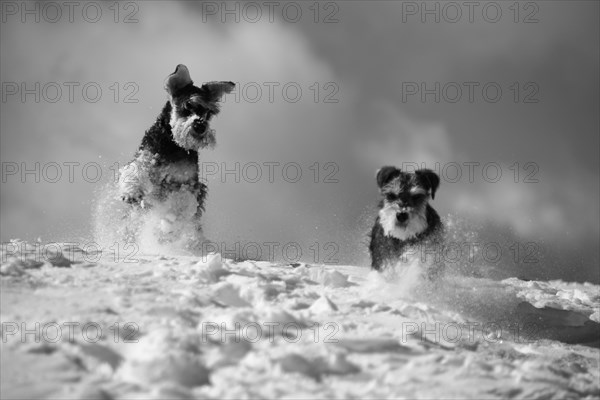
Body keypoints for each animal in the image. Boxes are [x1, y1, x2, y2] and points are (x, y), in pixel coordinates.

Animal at [117, 64, 234, 242]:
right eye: (188, 105)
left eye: (209, 112)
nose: (200, 126)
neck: (174, 145)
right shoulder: (146, 157)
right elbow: (135, 169)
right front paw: (131, 192)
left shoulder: (188, 183)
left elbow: (182, 201)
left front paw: (170, 222)